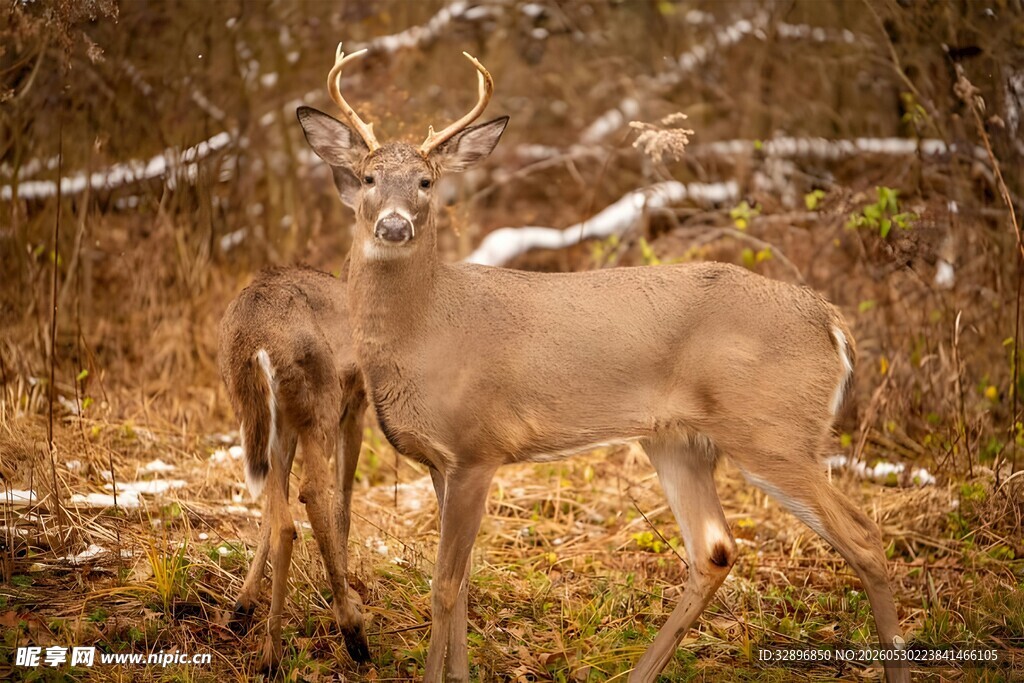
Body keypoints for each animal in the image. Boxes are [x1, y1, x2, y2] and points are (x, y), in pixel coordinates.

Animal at [218, 264, 371, 669]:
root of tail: (256, 344)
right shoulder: (356, 402)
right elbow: (343, 501)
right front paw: (346, 592)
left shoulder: (285, 425)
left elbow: (271, 510)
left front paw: (244, 604)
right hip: (320, 398)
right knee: (312, 494)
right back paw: (352, 630)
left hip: (260, 413)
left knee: (281, 518)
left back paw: (265, 645)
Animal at [295, 44, 910, 683]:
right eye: (368, 177)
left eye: (426, 180)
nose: (394, 224)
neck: (426, 331)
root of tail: (833, 323)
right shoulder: (444, 462)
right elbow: (460, 586)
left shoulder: (478, 449)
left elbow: (443, 586)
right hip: (678, 439)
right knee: (715, 549)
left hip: (774, 429)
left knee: (864, 537)